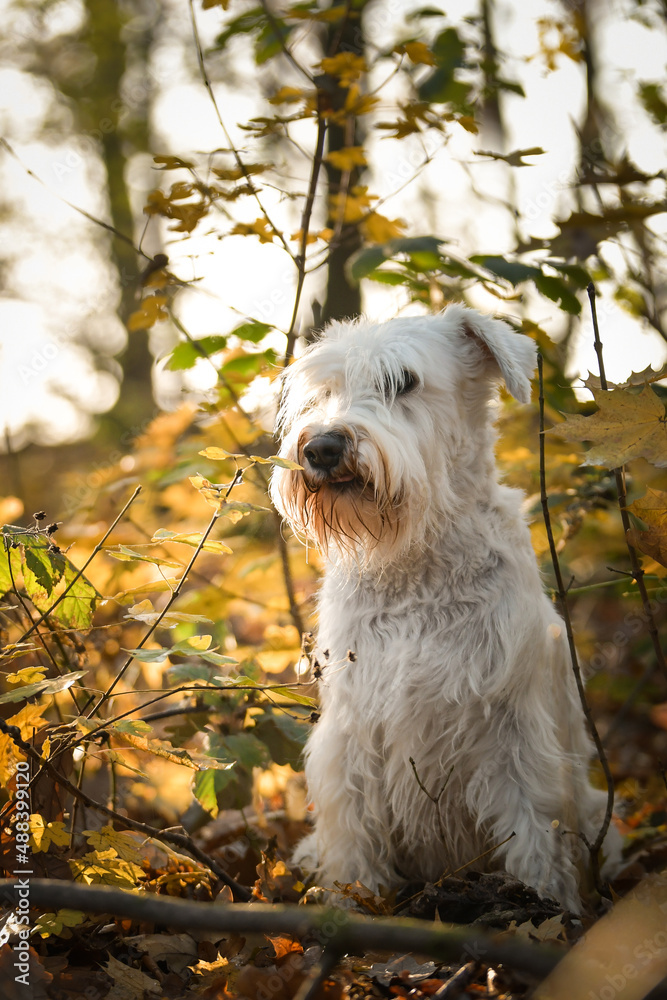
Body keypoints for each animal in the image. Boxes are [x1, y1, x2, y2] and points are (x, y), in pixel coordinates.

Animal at [268, 306, 620, 916]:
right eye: (325, 389)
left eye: (403, 381)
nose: (322, 448)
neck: (416, 566)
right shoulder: (351, 734)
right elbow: (354, 838)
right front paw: (354, 905)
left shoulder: (512, 734)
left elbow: (534, 833)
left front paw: (548, 904)